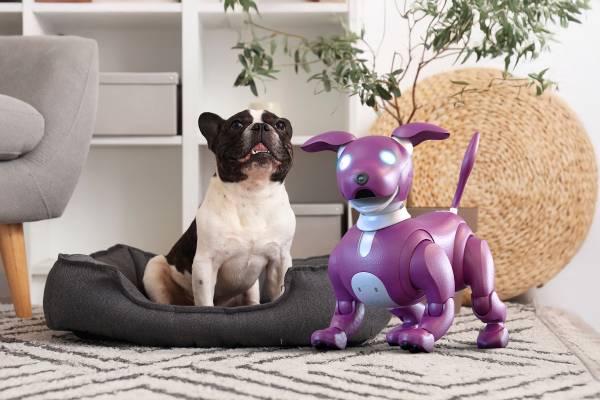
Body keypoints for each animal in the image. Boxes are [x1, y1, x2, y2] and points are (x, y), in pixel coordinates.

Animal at [144, 109, 298, 306]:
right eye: (236, 124)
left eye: (280, 125)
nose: (261, 126)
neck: (253, 193)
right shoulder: (205, 264)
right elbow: (205, 302)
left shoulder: (280, 260)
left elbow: (278, 293)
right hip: (154, 268)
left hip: (252, 286)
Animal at [302, 123, 508, 352]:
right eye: (345, 162)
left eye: (388, 158)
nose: (360, 177)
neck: (374, 229)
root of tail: (453, 215)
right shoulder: (338, 272)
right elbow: (346, 309)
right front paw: (330, 335)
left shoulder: (427, 254)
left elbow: (439, 306)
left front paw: (420, 338)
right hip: (391, 297)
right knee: (409, 310)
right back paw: (399, 333)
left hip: (471, 251)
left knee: (483, 299)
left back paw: (494, 337)